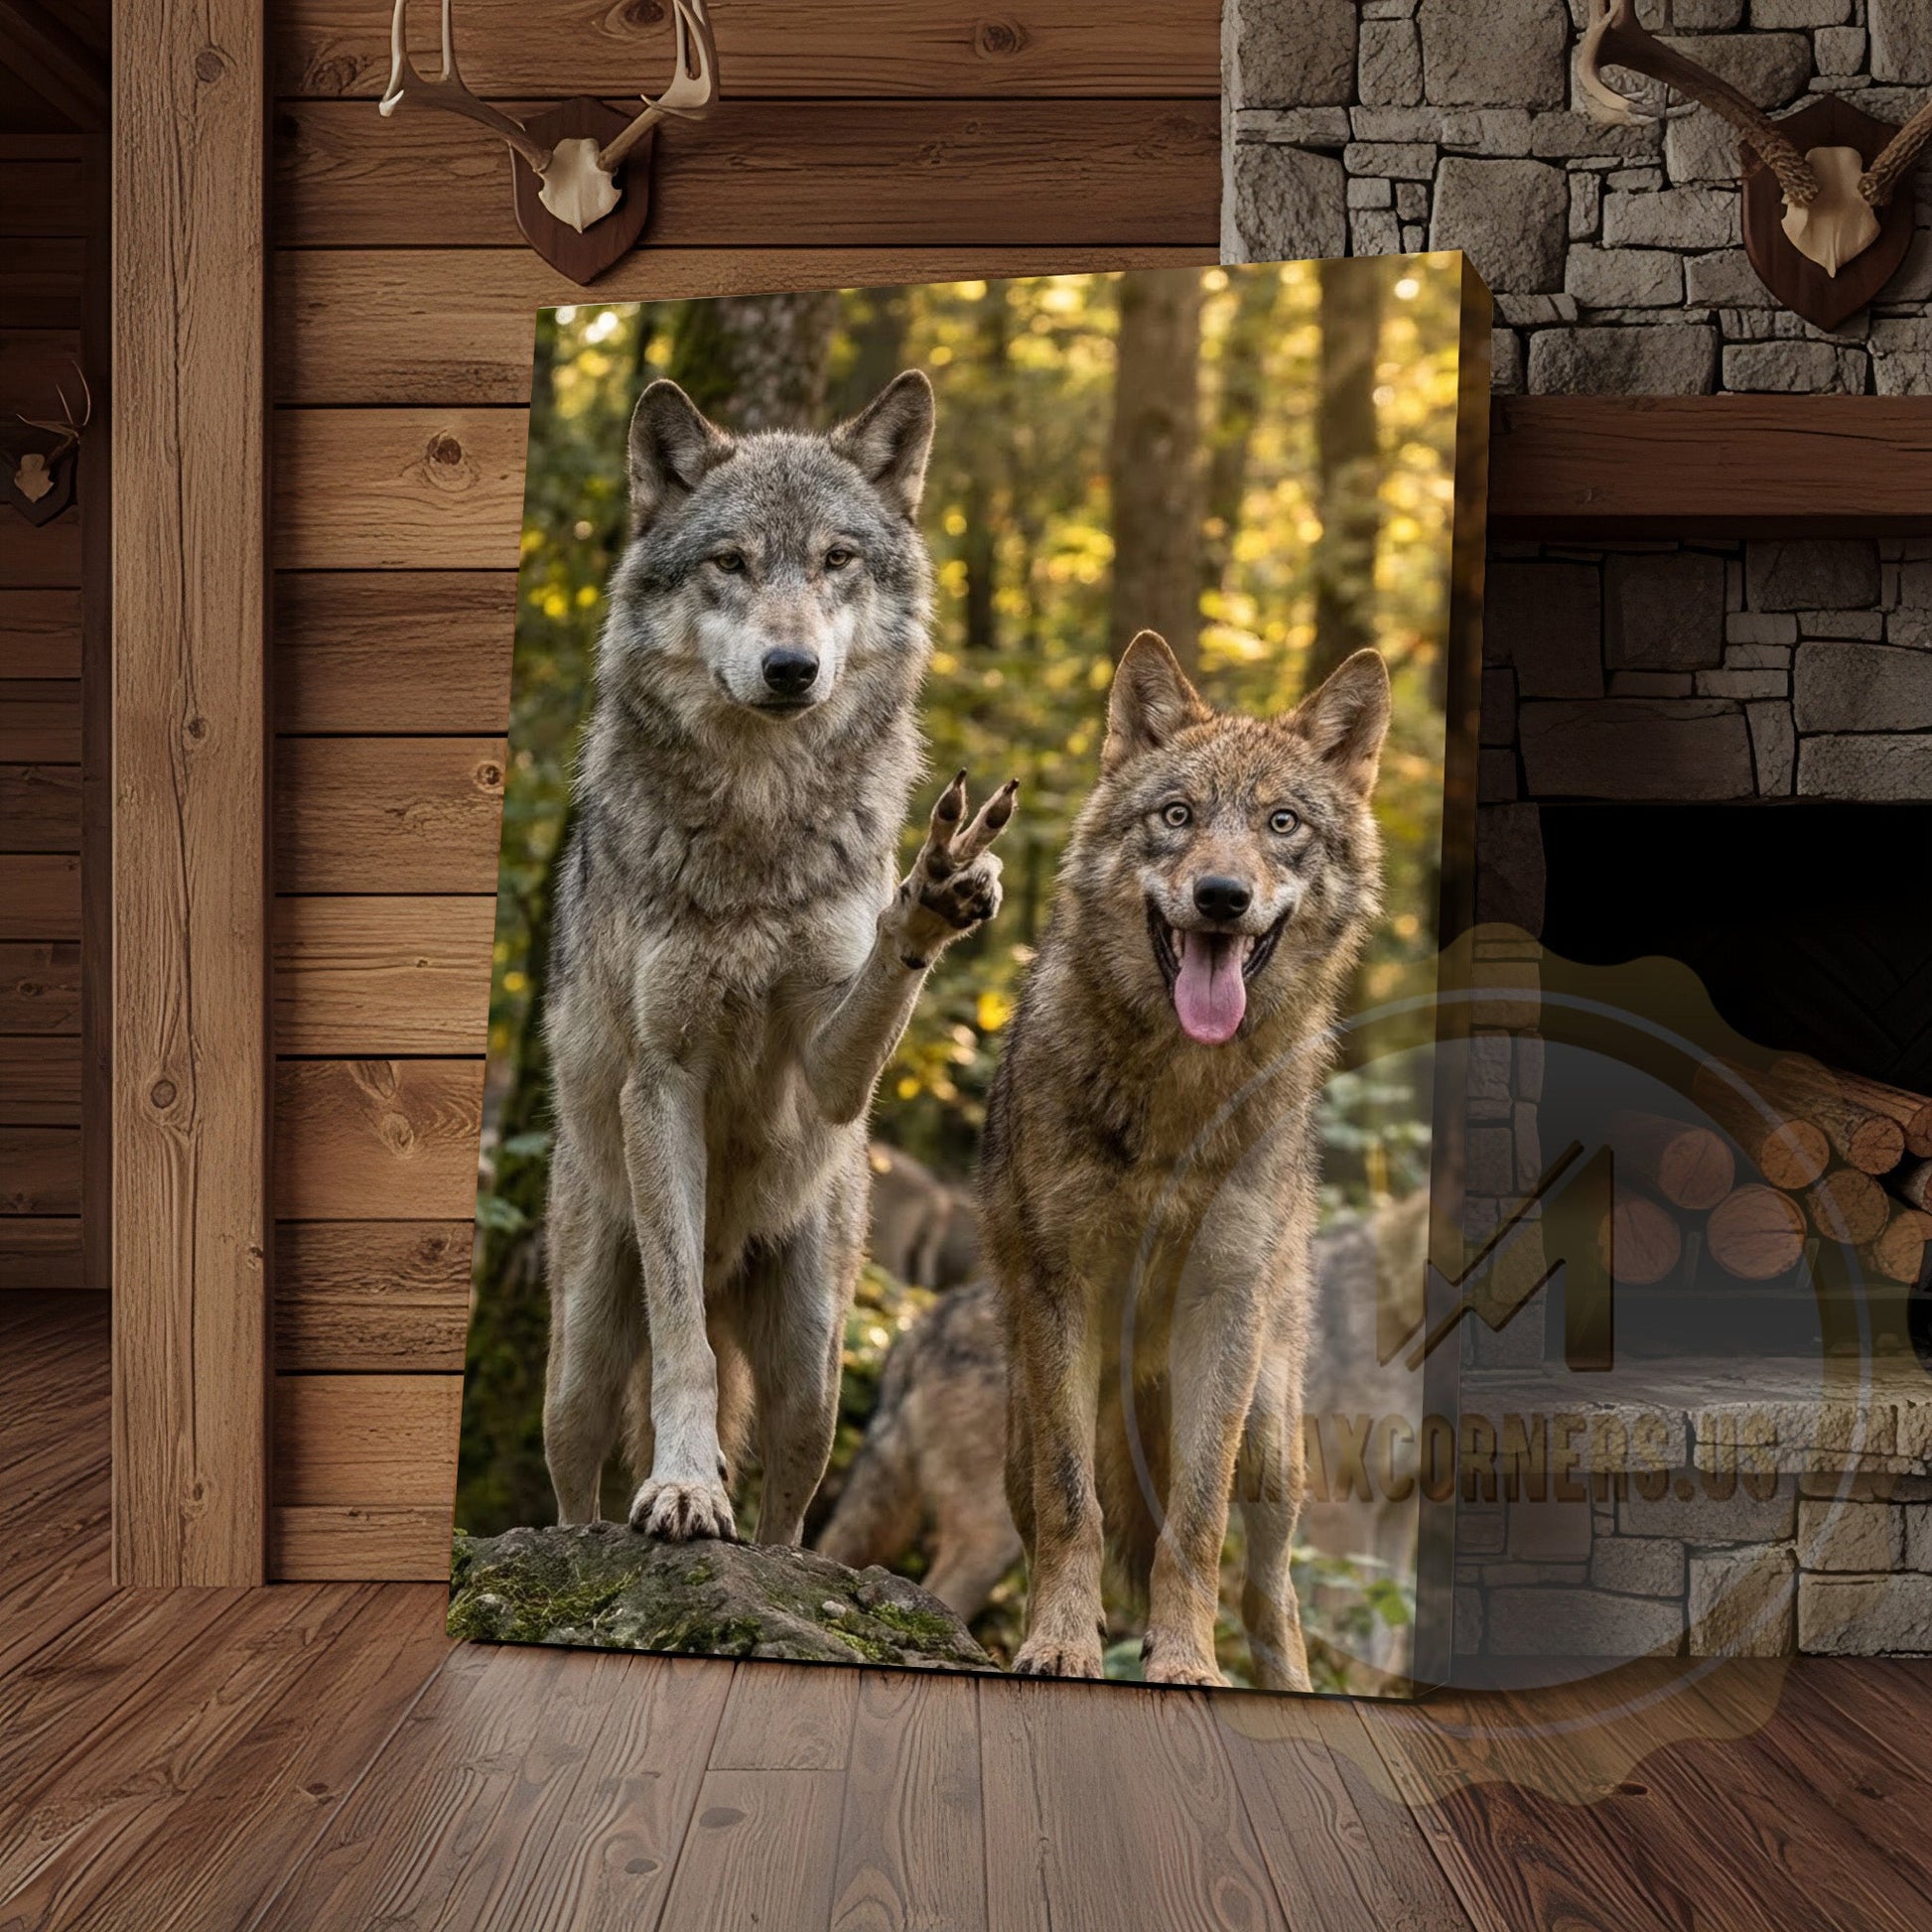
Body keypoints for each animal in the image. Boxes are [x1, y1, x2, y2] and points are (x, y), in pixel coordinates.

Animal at [541, 370, 1015, 1546]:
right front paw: (682, 1485)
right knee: (573, 1481)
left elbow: (874, 983)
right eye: (731, 562)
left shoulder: (826, 1065)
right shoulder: (662, 1078)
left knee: (792, 1520)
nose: (790, 667)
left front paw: (933, 894)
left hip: (816, 1373)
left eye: (836, 558)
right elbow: (682, 1343)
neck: (758, 821)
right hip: (577, 1359)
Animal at [980, 631, 1390, 1689]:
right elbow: (1073, 1509)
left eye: (1282, 823)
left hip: (1275, 1436)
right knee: (1048, 1510)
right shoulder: (1064, 1292)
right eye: (1178, 816)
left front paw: (1186, 1664)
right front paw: (1059, 1644)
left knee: (1272, 1591)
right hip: (1018, 1422)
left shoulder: (1224, 1304)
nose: (1221, 896)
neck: (1181, 1097)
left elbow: (1197, 1526)